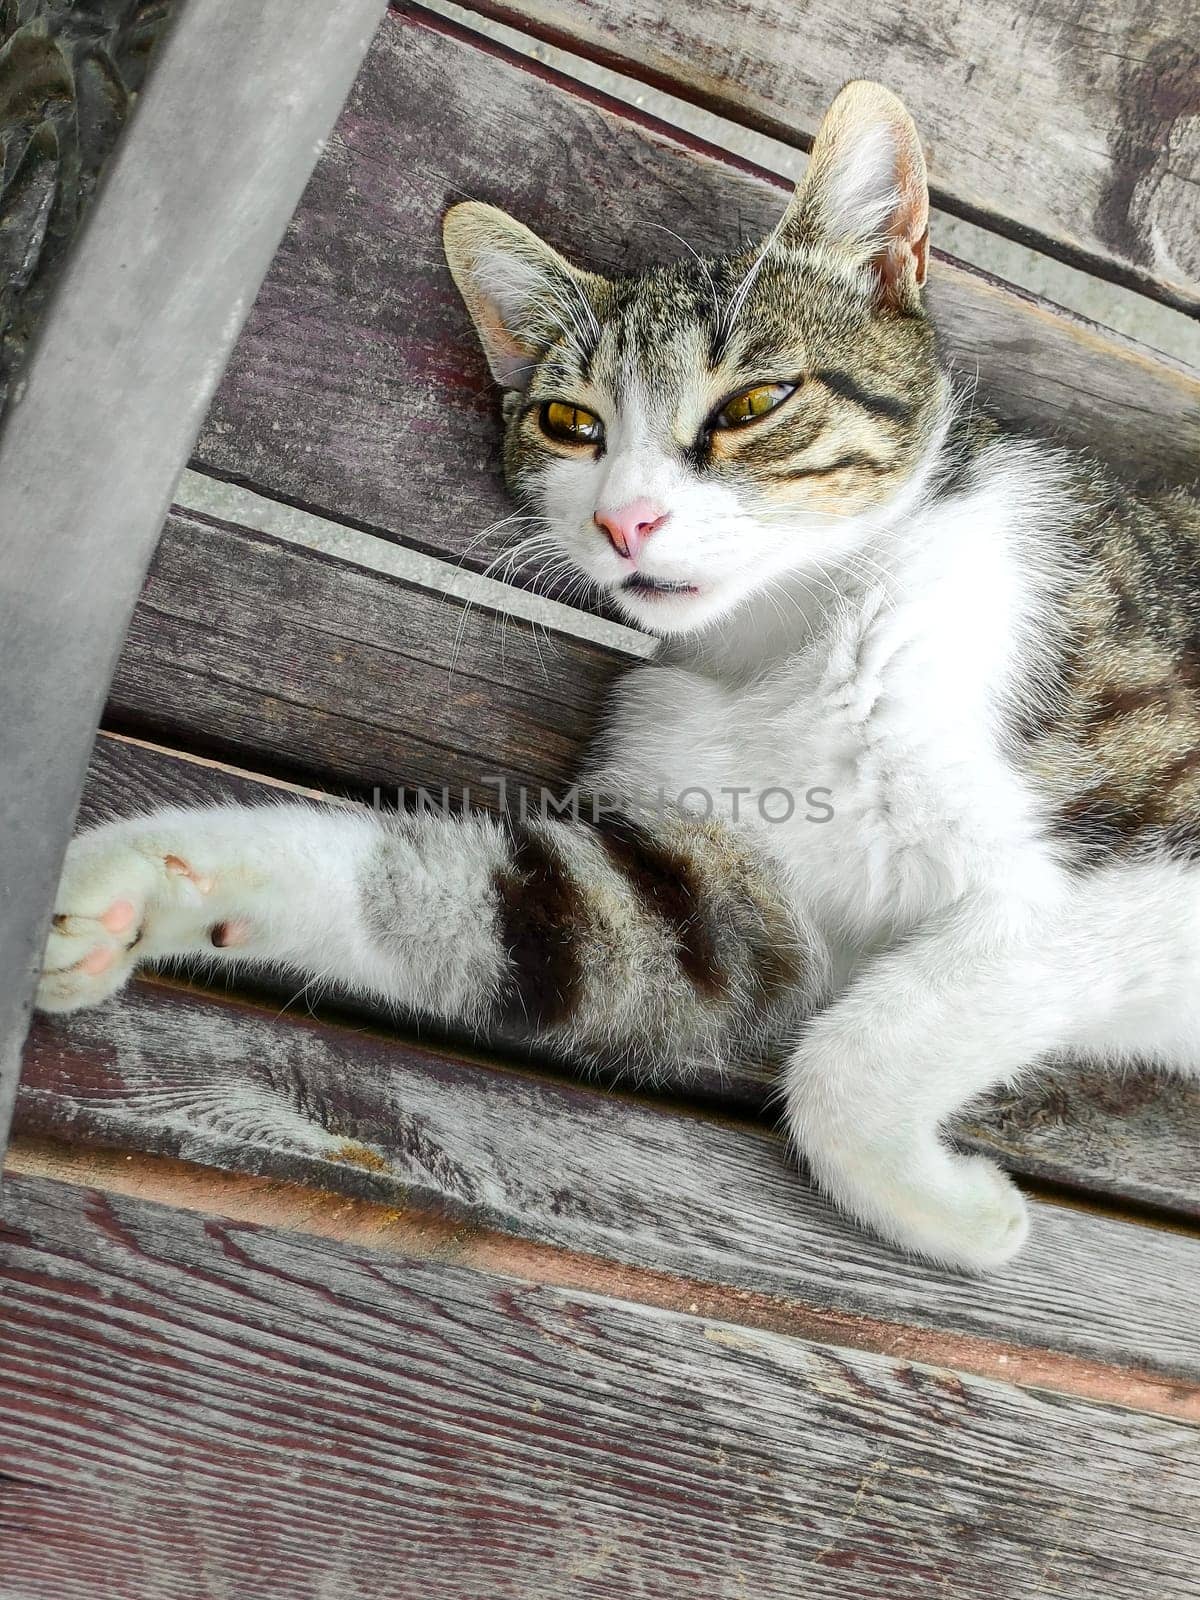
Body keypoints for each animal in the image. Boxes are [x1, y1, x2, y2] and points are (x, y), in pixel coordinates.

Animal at [35, 78, 1200, 1273]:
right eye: (570, 421)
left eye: (753, 404)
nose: (624, 520)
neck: (795, 643)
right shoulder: (729, 877)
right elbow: (530, 918)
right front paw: (136, 883)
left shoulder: (1145, 857)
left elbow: (887, 1027)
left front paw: (960, 1210)